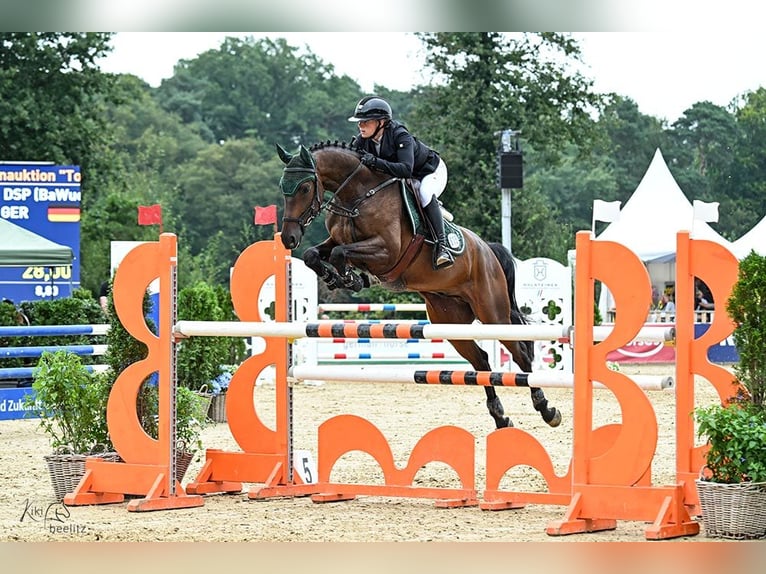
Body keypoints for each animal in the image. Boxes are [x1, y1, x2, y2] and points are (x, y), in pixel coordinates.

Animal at [278, 142, 564, 430]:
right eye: (283, 187)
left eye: (305, 188)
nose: (288, 238)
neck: (358, 197)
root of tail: (487, 249)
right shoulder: (337, 241)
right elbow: (314, 254)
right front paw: (337, 276)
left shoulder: (386, 252)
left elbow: (339, 253)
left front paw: (350, 277)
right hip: (450, 320)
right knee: (481, 359)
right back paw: (500, 417)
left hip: (493, 313)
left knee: (521, 354)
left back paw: (546, 409)